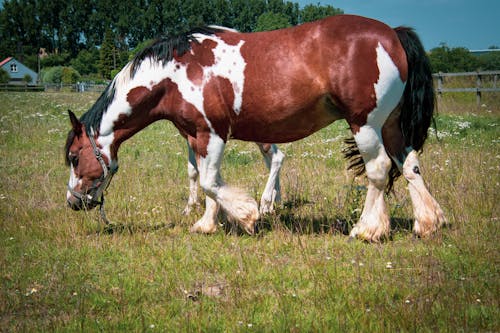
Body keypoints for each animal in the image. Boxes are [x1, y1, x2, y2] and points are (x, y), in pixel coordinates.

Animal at [65, 14, 446, 240]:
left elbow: (210, 182)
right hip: (392, 126)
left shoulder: (212, 134)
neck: (175, 73)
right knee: (409, 165)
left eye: (74, 157)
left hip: (365, 124)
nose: (73, 202)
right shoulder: (197, 136)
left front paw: (247, 215)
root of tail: (392, 34)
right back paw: (427, 223)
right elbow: (206, 181)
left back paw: (367, 229)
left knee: (378, 170)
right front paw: (208, 222)